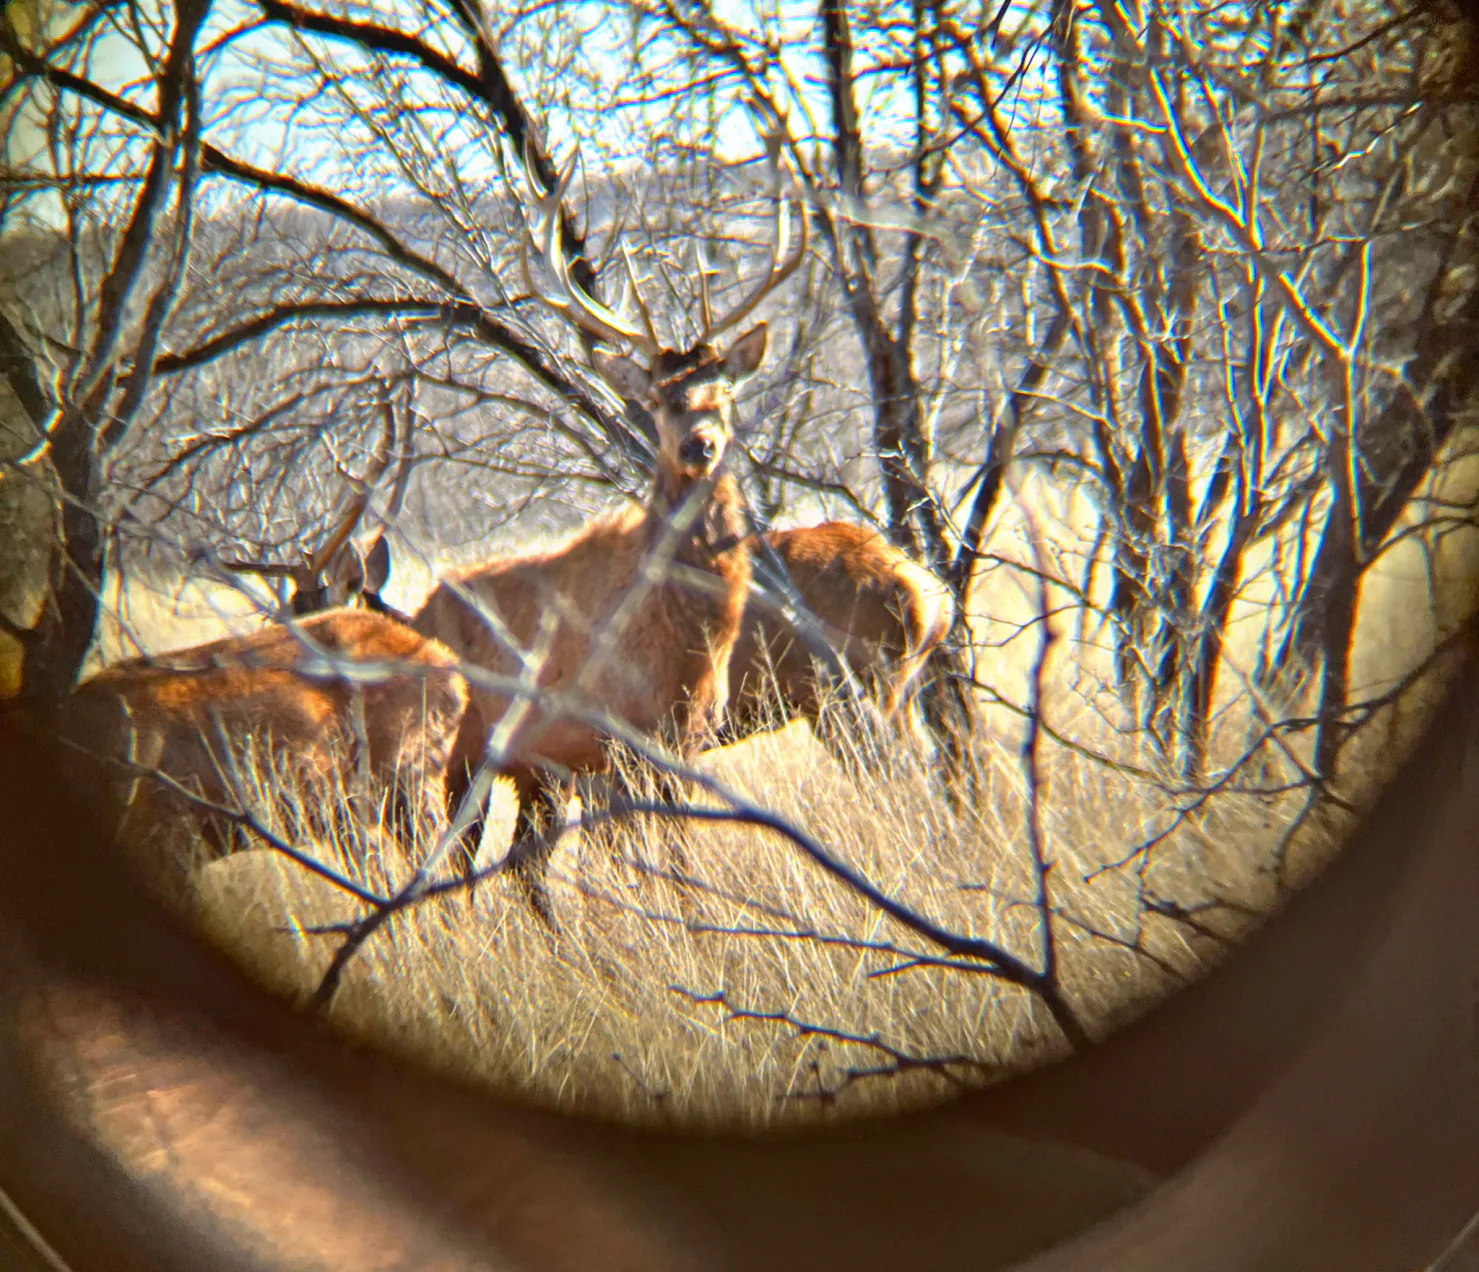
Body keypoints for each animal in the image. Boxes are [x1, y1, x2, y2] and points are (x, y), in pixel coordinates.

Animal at [409, 149, 806, 924]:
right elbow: (647, 860)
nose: (700, 444)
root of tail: (413, 613)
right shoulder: (611, 741)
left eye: (725, 392)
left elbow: (676, 857)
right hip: (458, 753)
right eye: (658, 397)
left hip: (532, 772)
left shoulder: (685, 742)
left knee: (522, 867)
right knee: (457, 862)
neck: (681, 646)